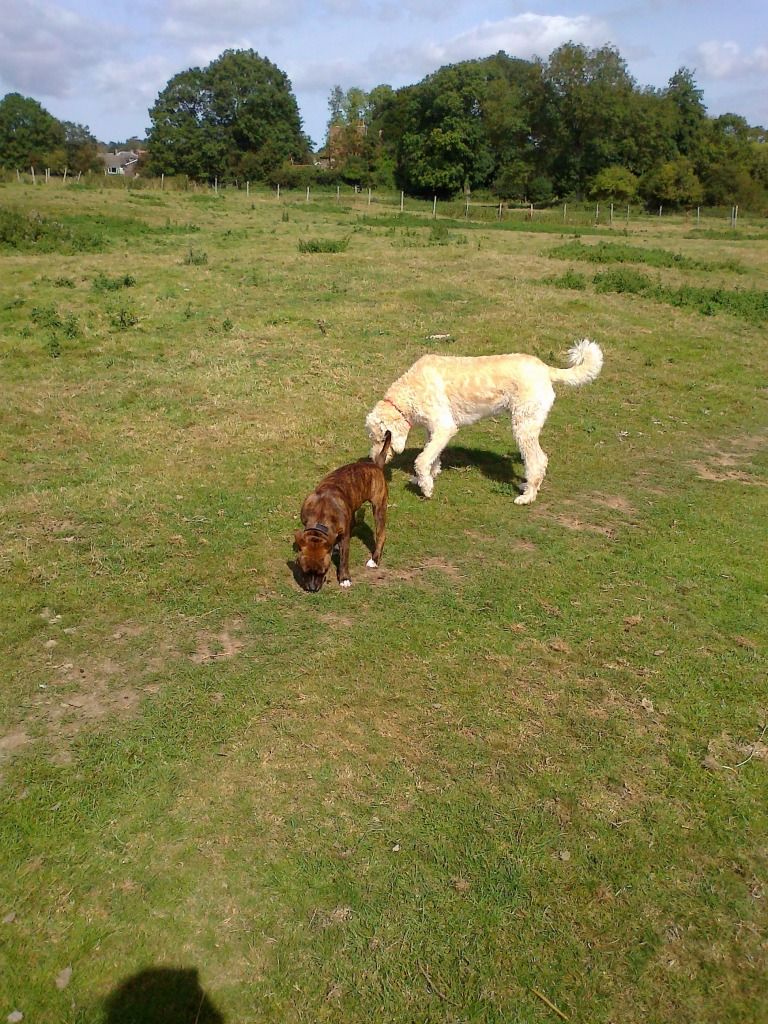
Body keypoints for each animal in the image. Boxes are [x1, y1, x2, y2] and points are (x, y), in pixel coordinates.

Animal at [292, 432, 393, 593]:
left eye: (323, 571)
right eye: (305, 571)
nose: (312, 589)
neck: (321, 515)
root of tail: (375, 465)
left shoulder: (345, 537)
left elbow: (344, 558)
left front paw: (344, 578)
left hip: (379, 507)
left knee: (381, 534)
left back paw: (374, 559)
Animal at [368, 339, 606, 503]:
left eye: (381, 438)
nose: (372, 459)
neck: (409, 391)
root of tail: (545, 368)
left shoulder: (445, 427)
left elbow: (421, 460)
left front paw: (426, 487)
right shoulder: (435, 430)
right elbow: (431, 456)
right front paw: (426, 478)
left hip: (523, 425)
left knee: (538, 460)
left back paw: (527, 496)